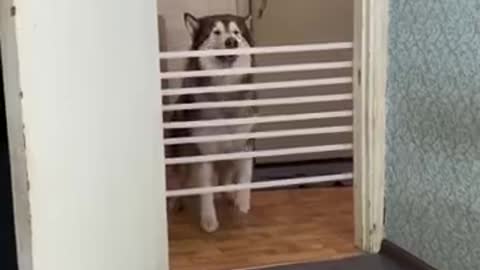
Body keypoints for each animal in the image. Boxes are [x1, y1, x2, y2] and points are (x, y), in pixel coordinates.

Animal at [164, 12, 255, 232]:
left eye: (237, 32)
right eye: (216, 32)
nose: (232, 42)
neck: (225, 92)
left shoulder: (245, 144)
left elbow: (245, 178)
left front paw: (242, 206)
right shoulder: (203, 151)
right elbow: (205, 190)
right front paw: (209, 220)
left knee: (225, 177)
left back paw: (229, 195)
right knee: (178, 180)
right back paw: (175, 202)